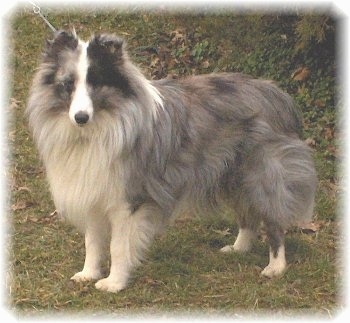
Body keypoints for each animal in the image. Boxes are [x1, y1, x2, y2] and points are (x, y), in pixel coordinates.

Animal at [27, 31, 318, 294]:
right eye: (68, 84)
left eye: (96, 83)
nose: (80, 117)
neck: (98, 128)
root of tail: (277, 94)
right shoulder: (95, 192)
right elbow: (93, 242)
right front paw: (88, 274)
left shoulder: (128, 201)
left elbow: (118, 246)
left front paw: (114, 283)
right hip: (231, 175)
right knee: (248, 217)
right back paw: (238, 249)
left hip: (261, 174)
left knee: (273, 219)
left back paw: (275, 267)